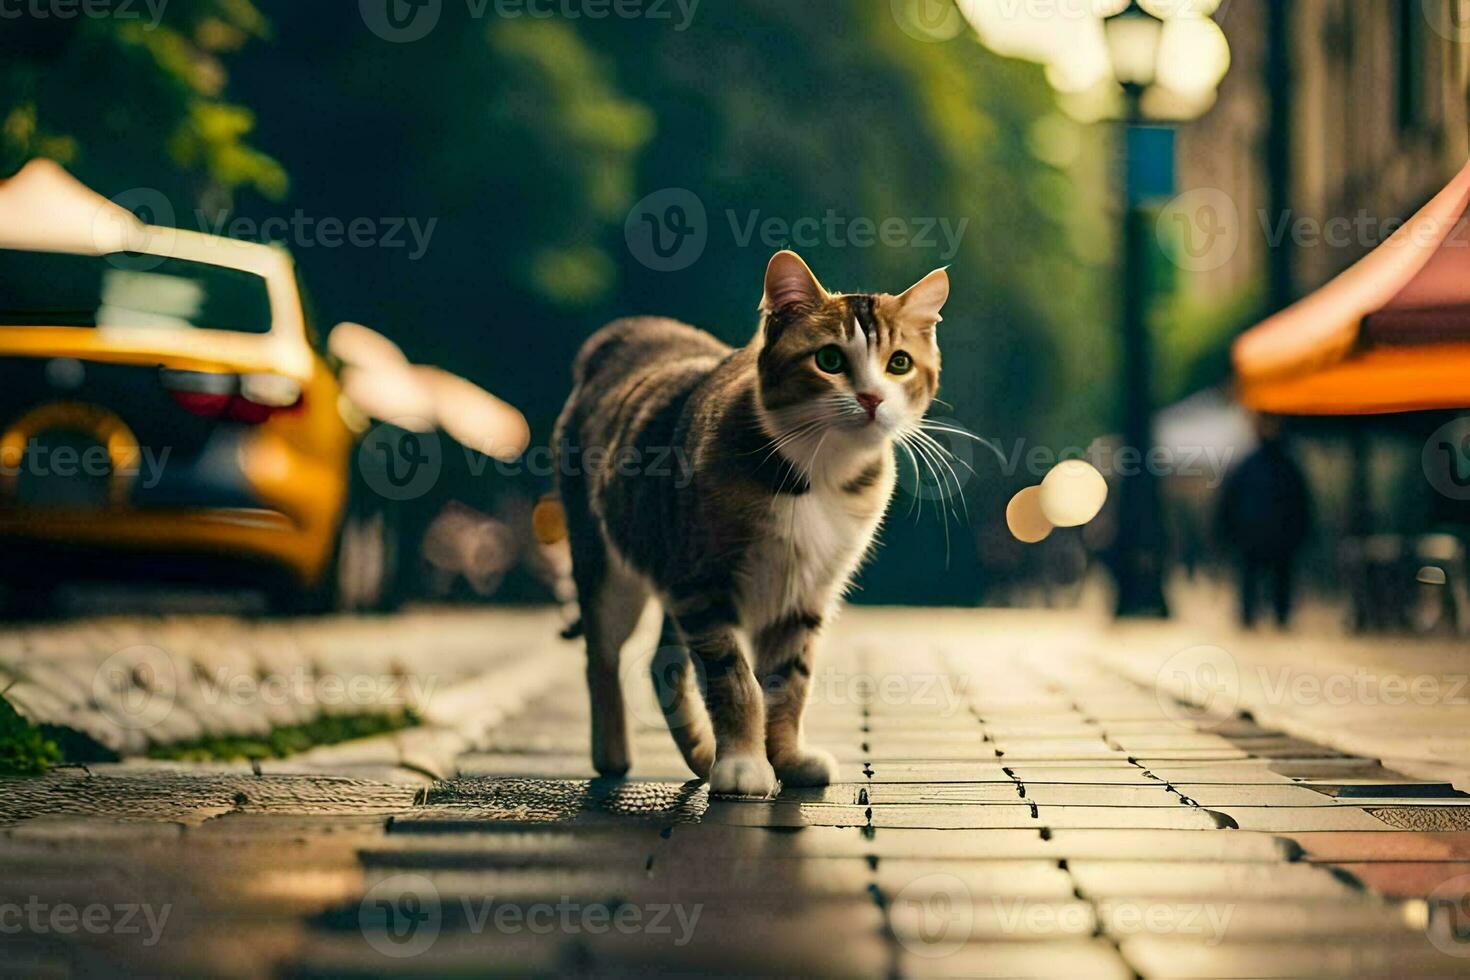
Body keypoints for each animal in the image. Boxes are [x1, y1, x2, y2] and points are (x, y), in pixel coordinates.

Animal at [552, 251, 952, 799]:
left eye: (899, 363)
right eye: (829, 360)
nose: (872, 398)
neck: (817, 472)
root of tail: (628, 332)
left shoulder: (803, 593)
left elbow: (788, 683)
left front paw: (784, 757)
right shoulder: (701, 582)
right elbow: (733, 679)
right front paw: (743, 762)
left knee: (663, 664)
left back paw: (702, 755)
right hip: (613, 565)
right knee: (603, 655)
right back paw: (613, 756)